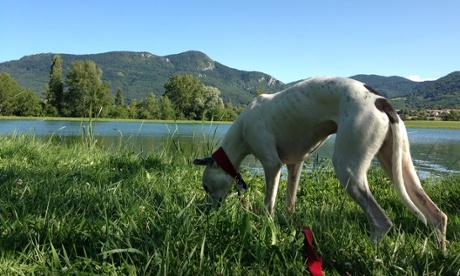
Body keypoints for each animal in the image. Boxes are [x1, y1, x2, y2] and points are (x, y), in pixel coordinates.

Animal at [193, 75, 446, 250]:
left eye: (205, 186)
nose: (208, 211)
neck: (242, 129)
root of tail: (381, 102)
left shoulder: (272, 165)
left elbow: (269, 204)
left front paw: (265, 226)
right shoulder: (295, 165)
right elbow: (289, 203)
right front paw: (288, 227)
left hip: (348, 169)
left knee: (382, 222)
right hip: (399, 166)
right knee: (437, 216)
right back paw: (440, 253)